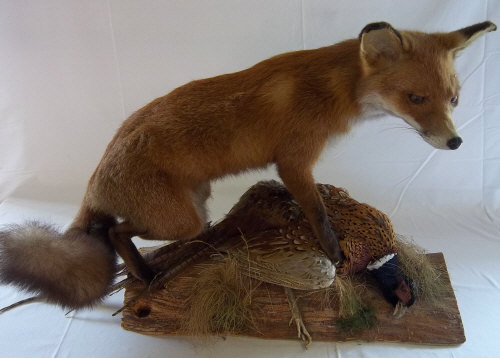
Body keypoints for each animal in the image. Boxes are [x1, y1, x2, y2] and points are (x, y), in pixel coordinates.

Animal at [0, 21, 494, 310]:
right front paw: (335, 255)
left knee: (141, 231)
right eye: (415, 98)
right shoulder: (293, 161)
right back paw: (142, 271)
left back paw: (154, 266)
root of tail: (96, 175)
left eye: (454, 99)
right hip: (181, 217)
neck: (332, 89)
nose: (455, 142)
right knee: (116, 231)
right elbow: (318, 215)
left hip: (196, 207)